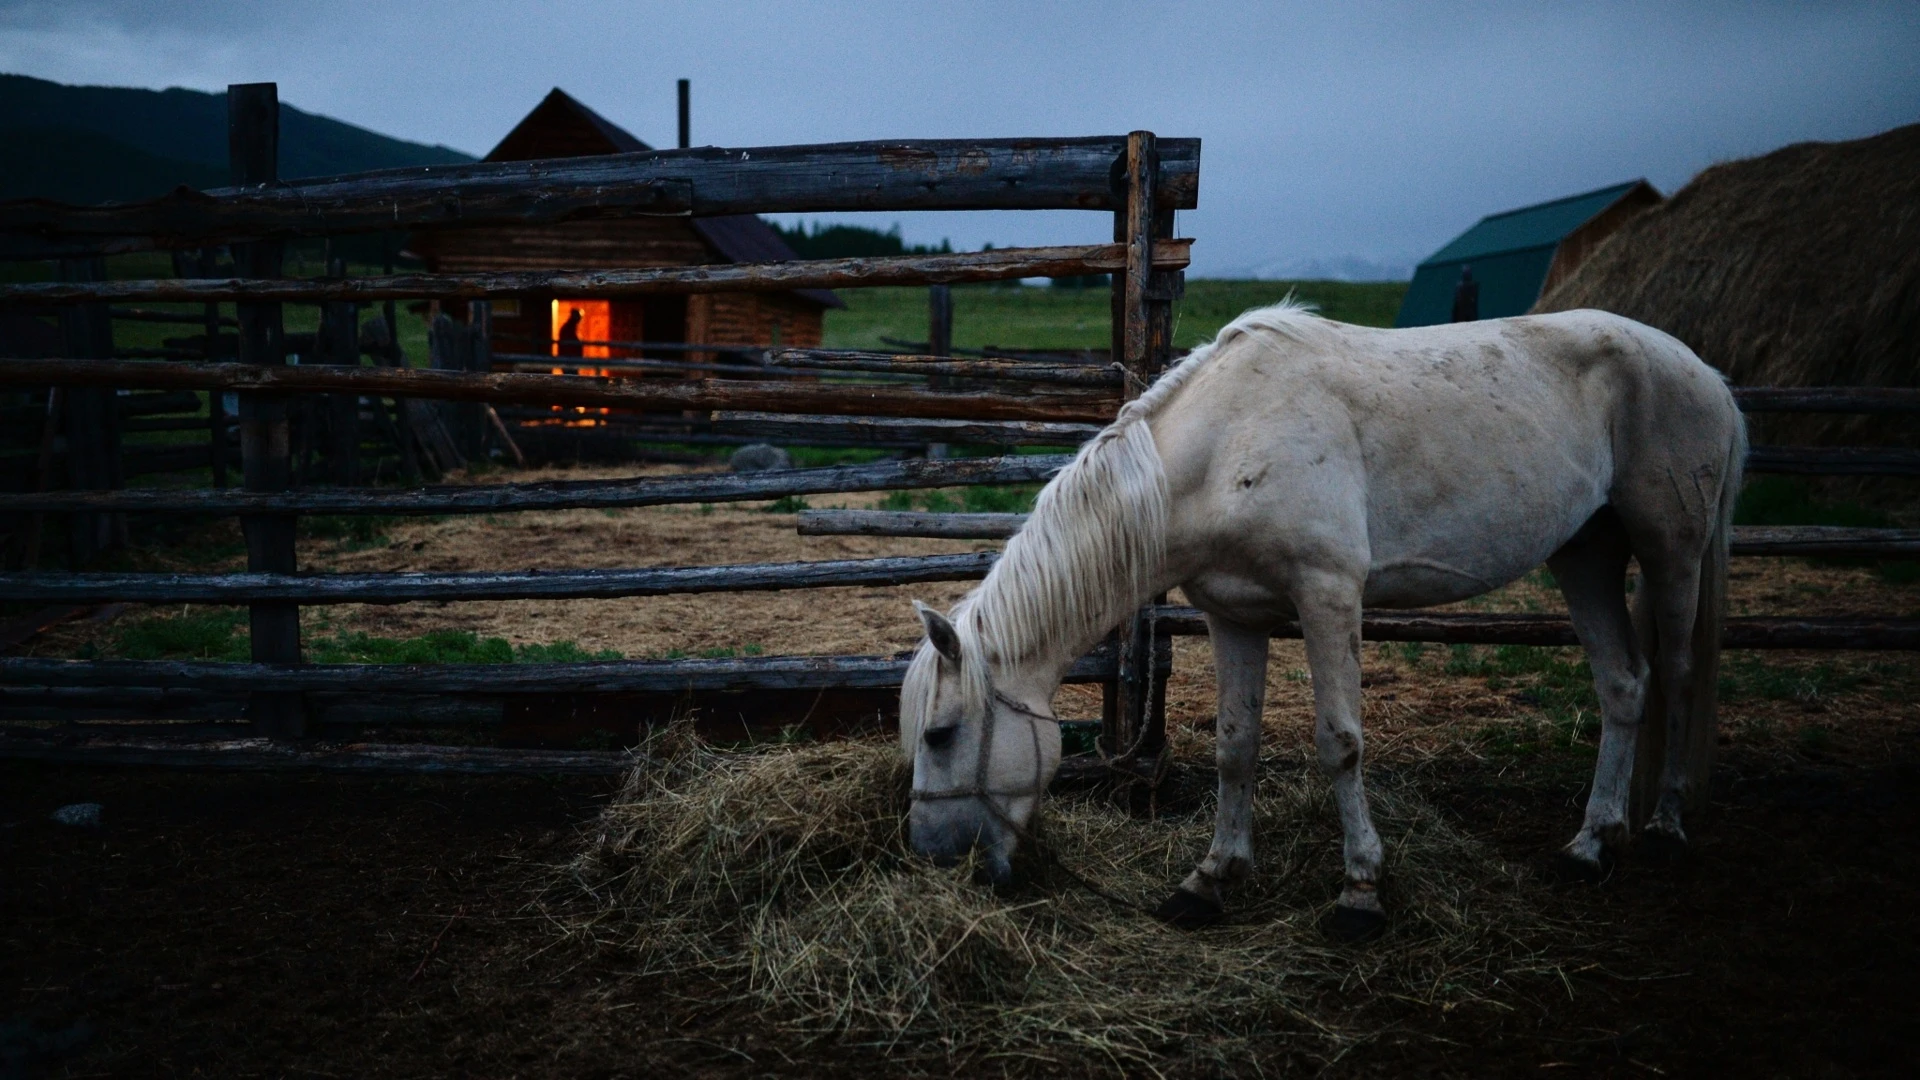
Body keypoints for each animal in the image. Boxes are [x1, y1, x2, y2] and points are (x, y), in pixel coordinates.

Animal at [898, 303, 1743, 933]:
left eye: (940, 734)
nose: (933, 859)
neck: (1223, 447)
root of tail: (1704, 371)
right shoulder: (1231, 614)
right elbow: (1234, 746)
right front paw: (1209, 882)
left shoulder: (1329, 595)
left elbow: (1340, 743)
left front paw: (1360, 891)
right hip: (1585, 553)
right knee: (1623, 686)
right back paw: (1589, 846)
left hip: (1671, 548)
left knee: (1676, 675)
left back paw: (1664, 830)